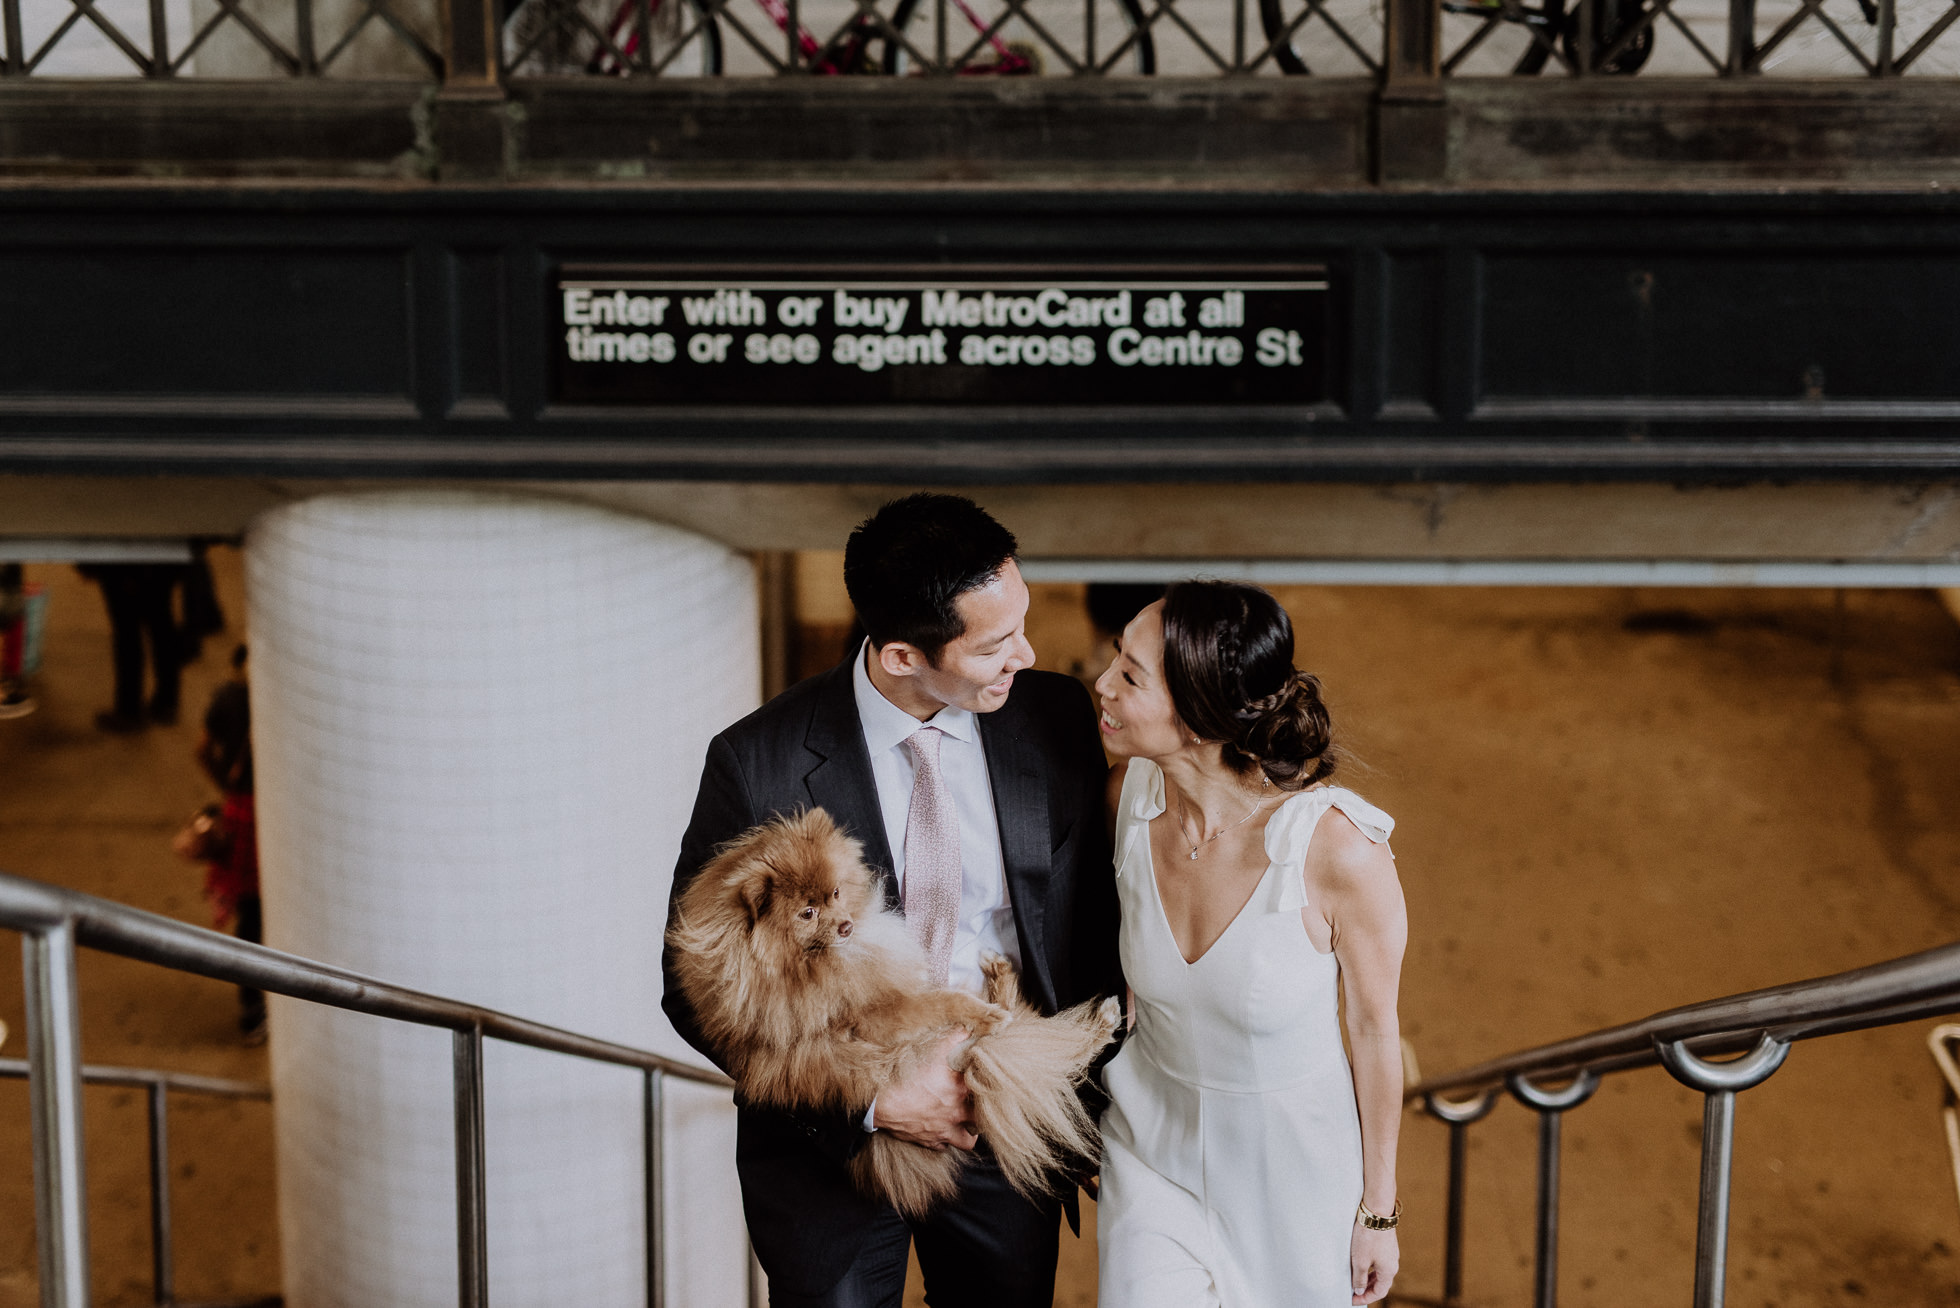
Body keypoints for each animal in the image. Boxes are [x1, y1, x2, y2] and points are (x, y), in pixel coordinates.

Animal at [666, 807, 1121, 1215]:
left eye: (835, 893)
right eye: (807, 913)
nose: (847, 926)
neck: (810, 964)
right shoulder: (876, 1017)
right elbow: (941, 1002)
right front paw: (978, 1009)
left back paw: (1002, 977)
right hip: (965, 1058)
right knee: (1032, 1050)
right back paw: (1080, 1017)